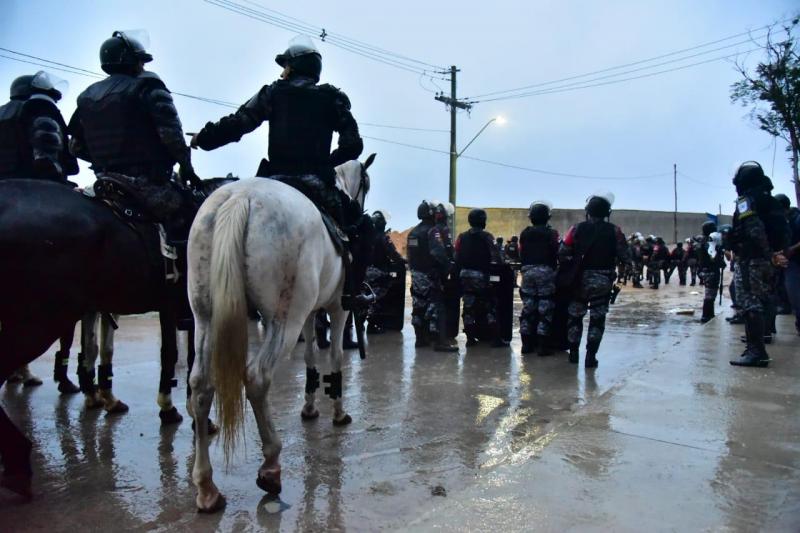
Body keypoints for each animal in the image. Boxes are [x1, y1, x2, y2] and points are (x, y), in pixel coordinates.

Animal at [188, 154, 376, 512]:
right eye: (367, 184)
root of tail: (240, 197)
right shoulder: (337, 308)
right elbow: (334, 358)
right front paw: (338, 412)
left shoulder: (311, 314)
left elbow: (311, 357)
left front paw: (310, 407)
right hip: (282, 321)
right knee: (257, 378)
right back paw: (270, 466)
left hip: (205, 320)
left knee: (201, 386)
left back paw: (206, 488)